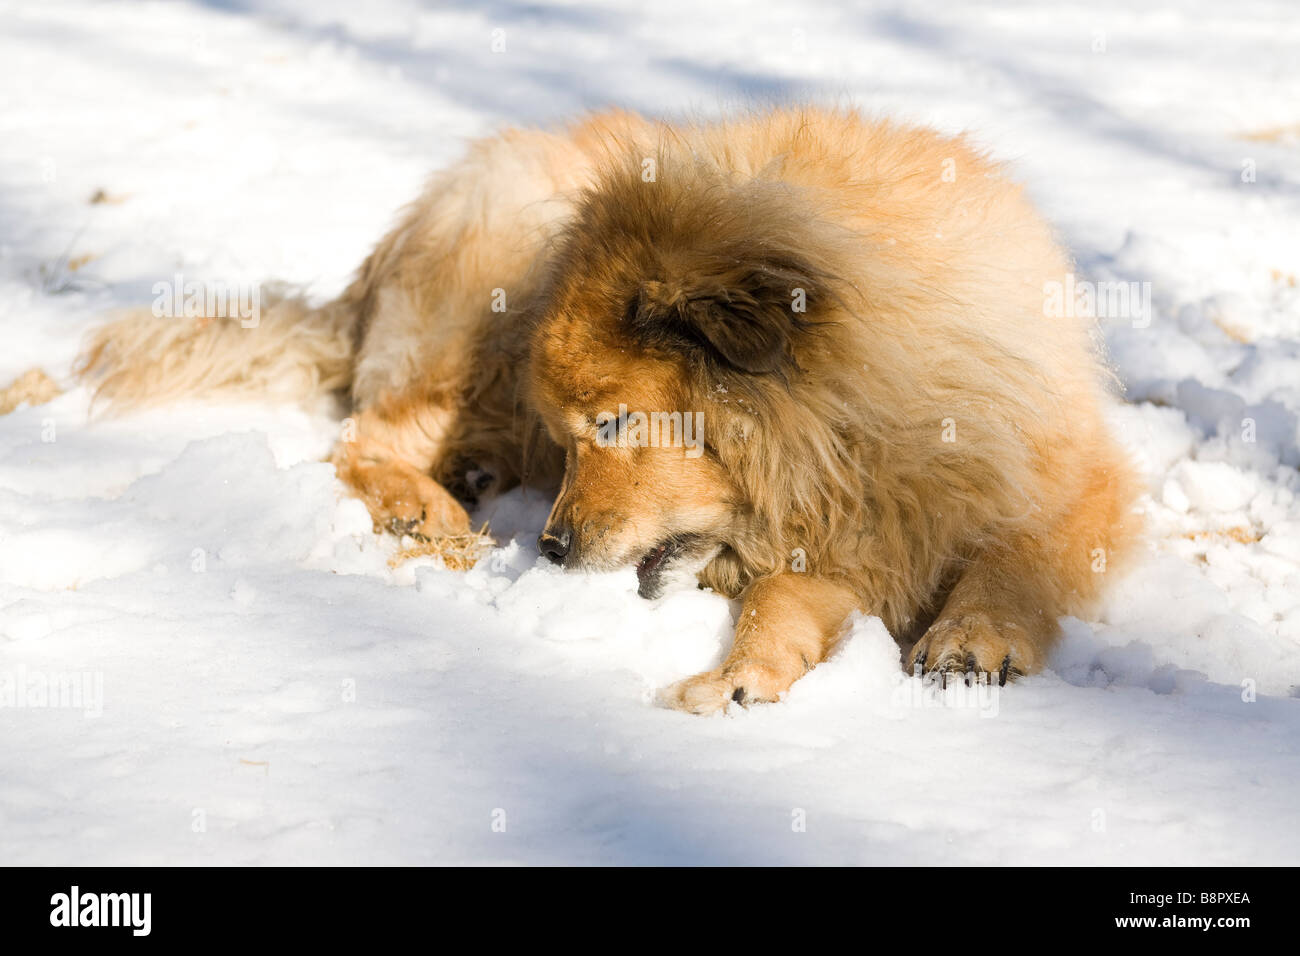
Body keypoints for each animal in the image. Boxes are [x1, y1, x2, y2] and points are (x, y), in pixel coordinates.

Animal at [78, 108, 1138, 712]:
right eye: (576, 434)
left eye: (620, 426)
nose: (549, 549)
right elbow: (777, 596)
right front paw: (742, 674)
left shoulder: (1037, 478)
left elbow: (1016, 555)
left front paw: (969, 637)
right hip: (483, 299)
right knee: (364, 436)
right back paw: (427, 509)